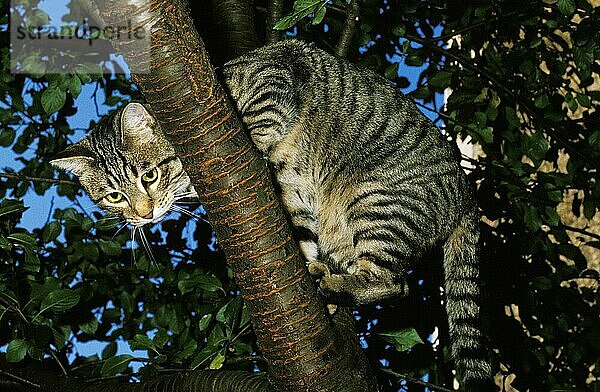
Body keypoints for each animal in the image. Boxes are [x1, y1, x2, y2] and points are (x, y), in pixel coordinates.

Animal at [50, 39, 492, 388]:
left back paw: (338, 285)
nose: (143, 215)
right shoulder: (297, 200)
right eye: (113, 196)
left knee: (393, 283)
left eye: (149, 175)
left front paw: (256, 139)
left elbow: (258, 114)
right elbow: (302, 238)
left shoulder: (273, 72)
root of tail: (466, 197)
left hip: (378, 202)